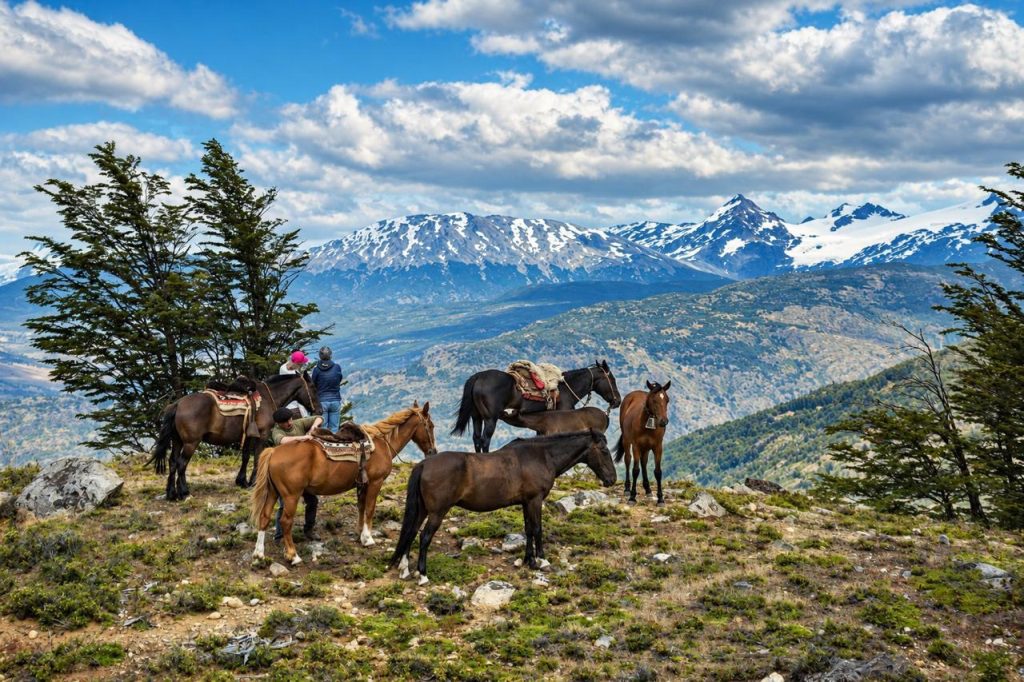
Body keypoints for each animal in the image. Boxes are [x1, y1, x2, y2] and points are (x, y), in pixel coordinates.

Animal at [152, 373, 320, 501]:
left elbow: (245, 456)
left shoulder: (248, 436)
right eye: (313, 387)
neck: (268, 397)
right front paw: (254, 482)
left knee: (173, 462)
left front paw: (242, 481)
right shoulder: (262, 435)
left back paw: (171, 494)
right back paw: (184, 492)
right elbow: (257, 457)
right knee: (181, 464)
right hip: (190, 443)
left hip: (177, 441)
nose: (320, 409)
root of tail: (178, 404)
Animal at [250, 402, 436, 566]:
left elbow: (361, 507)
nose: (433, 451)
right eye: (431, 425)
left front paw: (360, 535)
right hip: (291, 496)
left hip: (273, 492)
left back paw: (259, 554)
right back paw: (293, 556)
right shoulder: (375, 482)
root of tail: (273, 451)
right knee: (285, 521)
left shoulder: (363, 485)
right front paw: (368, 538)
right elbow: (370, 509)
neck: (382, 443)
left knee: (264, 517)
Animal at [389, 430, 616, 585]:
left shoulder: (526, 502)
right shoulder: (535, 500)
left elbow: (528, 530)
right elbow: (537, 529)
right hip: (437, 512)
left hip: (422, 510)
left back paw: (405, 569)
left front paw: (528, 560)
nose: (612, 479)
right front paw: (542, 561)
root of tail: (424, 464)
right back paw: (423, 575)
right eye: (604, 450)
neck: (541, 456)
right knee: (424, 537)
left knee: (410, 532)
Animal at [451, 360, 622, 452]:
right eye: (612, 379)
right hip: (490, 419)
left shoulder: (543, 424)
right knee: (485, 440)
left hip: (477, 417)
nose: (617, 401)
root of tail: (477, 377)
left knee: (476, 439)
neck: (565, 388)